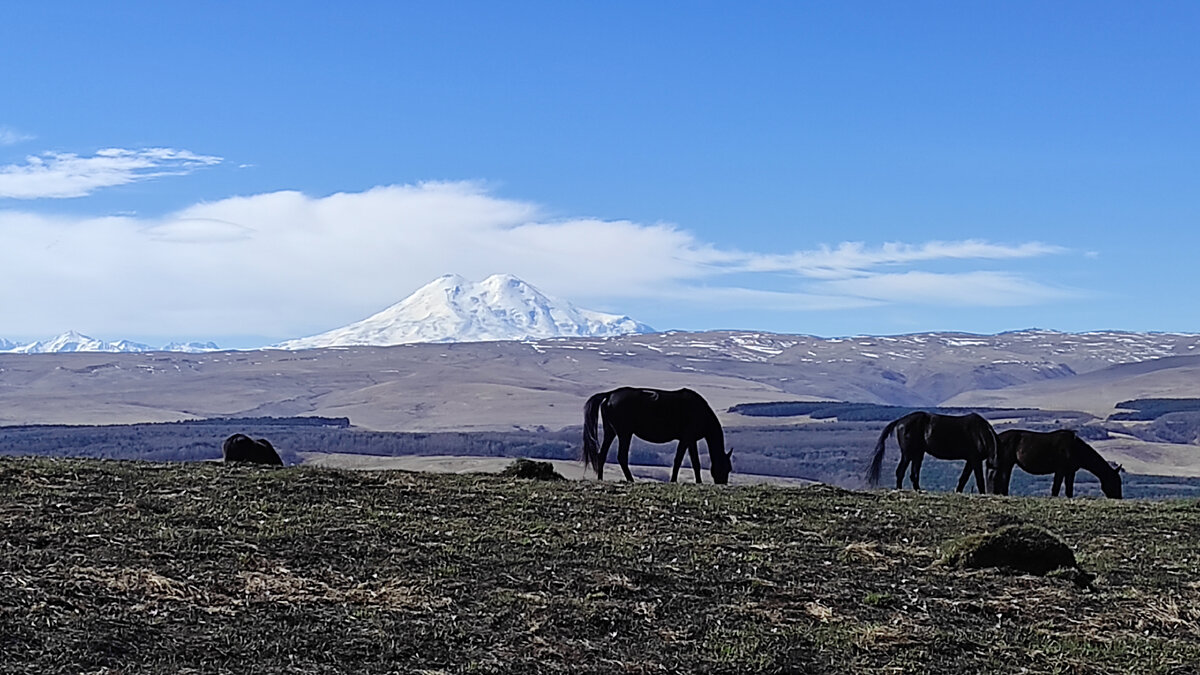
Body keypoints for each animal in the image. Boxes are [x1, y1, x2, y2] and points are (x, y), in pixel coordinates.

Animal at [576, 386, 724, 480]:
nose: (722, 482)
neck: (701, 412)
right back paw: (631, 480)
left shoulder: (691, 440)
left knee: (602, 455)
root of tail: (609, 395)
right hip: (625, 433)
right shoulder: (686, 438)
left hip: (610, 431)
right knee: (621, 456)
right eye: (726, 467)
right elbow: (678, 460)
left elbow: (695, 463)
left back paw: (600, 479)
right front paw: (674, 480)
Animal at [868, 408, 998, 492]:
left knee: (913, 473)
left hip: (918, 453)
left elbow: (964, 478)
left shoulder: (970, 460)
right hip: (908, 454)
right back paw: (900, 489)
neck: (981, 433)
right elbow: (979, 479)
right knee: (901, 471)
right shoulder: (975, 460)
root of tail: (900, 421)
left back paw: (918, 490)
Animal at [988, 427, 1118, 497]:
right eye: (1116, 482)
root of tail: (997, 437)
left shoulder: (1070, 471)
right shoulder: (1060, 470)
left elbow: (1069, 490)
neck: (1075, 448)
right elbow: (1056, 488)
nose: (1119, 497)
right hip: (1006, 463)